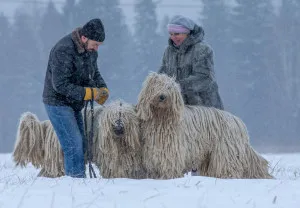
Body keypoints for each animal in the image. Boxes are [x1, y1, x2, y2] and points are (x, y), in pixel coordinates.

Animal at [137, 72, 274, 180]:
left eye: (169, 88)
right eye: (156, 86)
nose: (162, 96)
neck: (160, 118)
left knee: (227, 167)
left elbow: (169, 166)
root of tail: (238, 121)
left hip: (224, 151)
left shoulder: (171, 151)